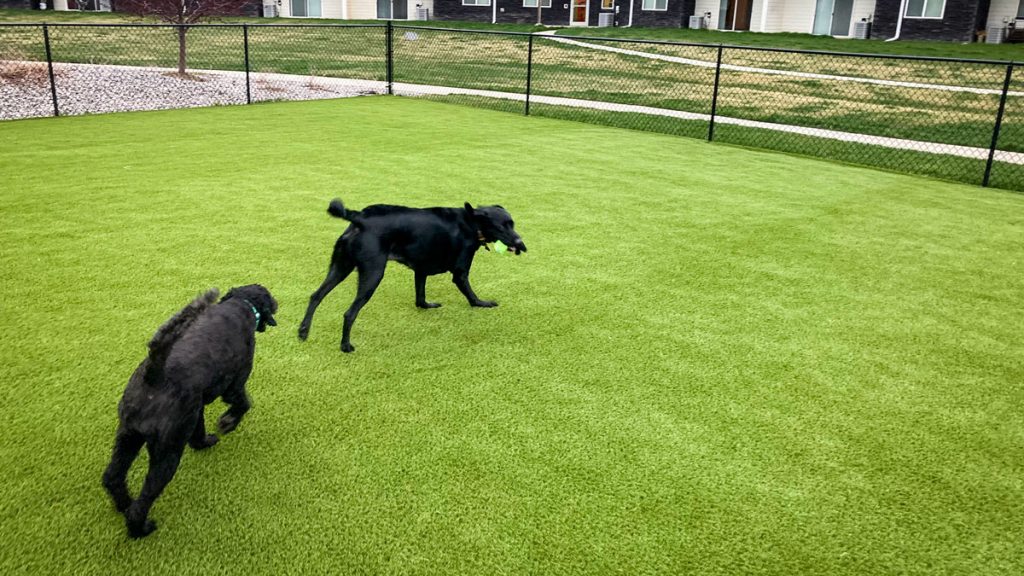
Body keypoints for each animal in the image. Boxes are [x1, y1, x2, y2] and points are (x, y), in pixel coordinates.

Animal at [101, 284, 276, 537]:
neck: (241, 306)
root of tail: (154, 377)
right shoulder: (233, 386)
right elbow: (243, 403)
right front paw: (229, 422)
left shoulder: (195, 407)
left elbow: (198, 430)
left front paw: (203, 442)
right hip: (168, 451)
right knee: (146, 496)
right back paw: (140, 527)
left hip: (128, 435)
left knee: (112, 476)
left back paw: (124, 503)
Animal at [294, 196, 520, 352]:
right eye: (502, 226)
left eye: (513, 223)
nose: (520, 242)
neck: (471, 222)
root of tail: (359, 217)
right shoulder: (460, 273)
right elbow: (471, 295)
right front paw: (483, 303)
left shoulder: (420, 270)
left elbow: (420, 297)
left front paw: (426, 306)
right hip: (373, 274)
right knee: (349, 313)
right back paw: (345, 346)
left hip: (340, 267)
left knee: (316, 296)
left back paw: (303, 331)